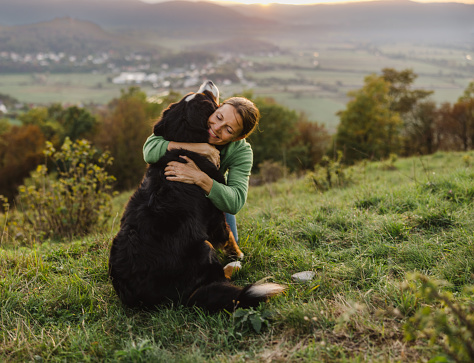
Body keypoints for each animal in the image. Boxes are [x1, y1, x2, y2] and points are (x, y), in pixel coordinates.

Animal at [108, 82, 286, 312]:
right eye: (208, 100)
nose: (208, 82)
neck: (187, 148)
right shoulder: (215, 215)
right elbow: (228, 236)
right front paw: (237, 254)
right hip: (204, 247)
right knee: (219, 277)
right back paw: (234, 266)